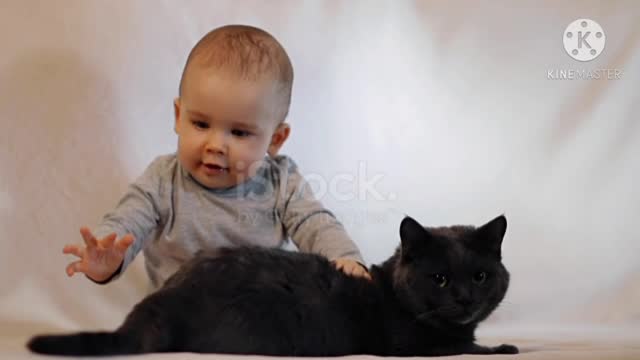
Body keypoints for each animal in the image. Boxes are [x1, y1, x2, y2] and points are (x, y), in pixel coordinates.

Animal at [27, 215, 516, 356]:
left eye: (480, 276)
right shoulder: (409, 347)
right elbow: (465, 348)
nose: (465, 298)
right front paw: (502, 347)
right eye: (439, 278)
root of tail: (165, 297)